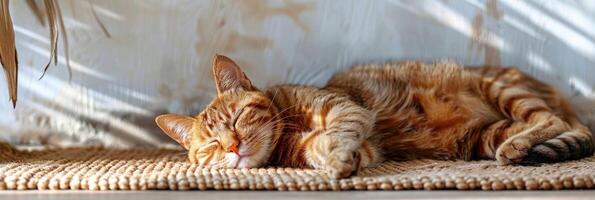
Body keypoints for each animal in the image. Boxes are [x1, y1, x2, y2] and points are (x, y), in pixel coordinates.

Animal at [156, 54, 592, 178]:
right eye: (212, 146)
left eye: (237, 118)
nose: (233, 146)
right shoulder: (363, 146)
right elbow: (330, 146)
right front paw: (335, 162)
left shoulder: (345, 109)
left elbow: (338, 131)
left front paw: (335, 160)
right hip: (487, 133)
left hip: (503, 90)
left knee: (553, 121)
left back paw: (520, 146)